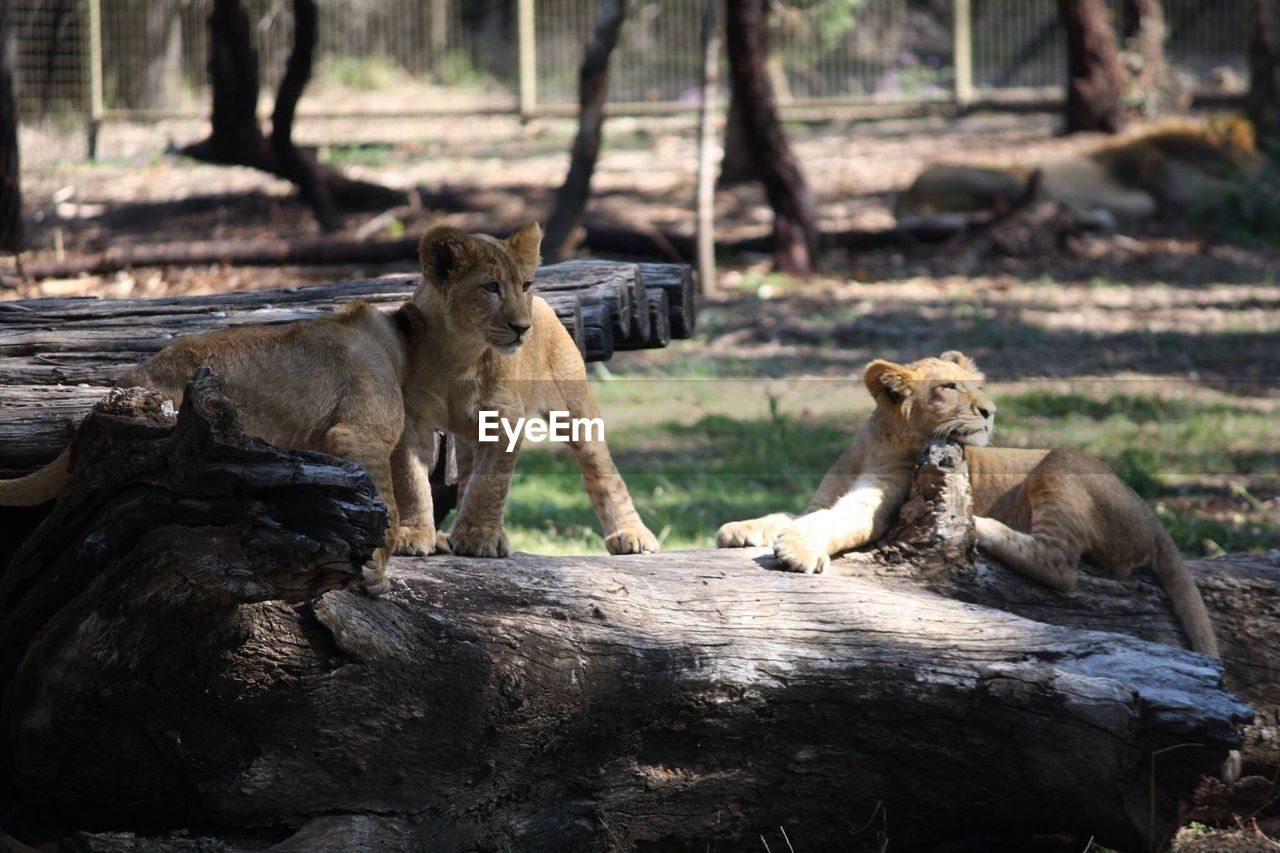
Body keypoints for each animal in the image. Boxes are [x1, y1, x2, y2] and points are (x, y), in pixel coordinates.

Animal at [721, 348, 1218, 653]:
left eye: (976, 386)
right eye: (949, 388)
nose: (991, 410)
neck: (879, 440)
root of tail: (1157, 525)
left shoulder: (876, 504)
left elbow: (831, 522)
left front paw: (798, 550)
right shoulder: (818, 498)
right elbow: (786, 514)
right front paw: (739, 529)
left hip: (1062, 459)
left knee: (1061, 565)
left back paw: (985, 526)